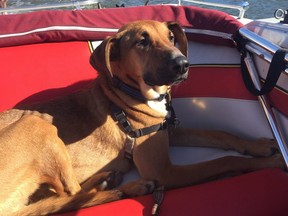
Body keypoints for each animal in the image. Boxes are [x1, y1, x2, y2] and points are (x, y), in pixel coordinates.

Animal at [0, 19, 284, 214]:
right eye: (142, 42)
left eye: (171, 37)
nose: (183, 65)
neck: (130, 94)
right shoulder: (163, 171)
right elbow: (223, 161)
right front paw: (272, 161)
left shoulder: (168, 130)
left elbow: (221, 134)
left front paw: (258, 146)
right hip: (37, 125)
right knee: (72, 194)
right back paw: (126, 186)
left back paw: (108, 180)